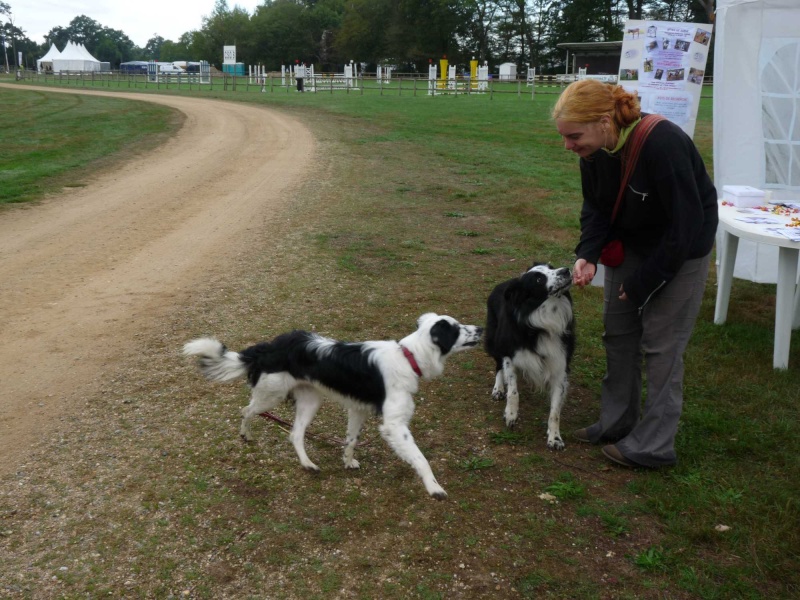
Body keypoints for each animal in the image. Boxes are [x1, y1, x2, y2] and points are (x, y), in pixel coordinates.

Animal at [183, 314, 482, 502]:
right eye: (457, 328)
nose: (481, 329)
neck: (408, 357)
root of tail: (269, 347)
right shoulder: (394, 425)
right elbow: (421, 459)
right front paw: (434, 488)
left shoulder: (358, 409)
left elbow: (351, 440)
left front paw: (347, 461)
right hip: (271, 395)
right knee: (246, 411)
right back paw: (246, 435)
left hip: (310, 400)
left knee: (295, 433)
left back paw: (307, 464)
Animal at [482, 262, 576, 450]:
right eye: (539, 279)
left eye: (551, 266)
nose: (566, 270)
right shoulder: (510, 353)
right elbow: (513, 391)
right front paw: (511, 414)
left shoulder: (560, 366)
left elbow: (555, 410)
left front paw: (554, 437)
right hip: (495, 339)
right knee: (497, 366)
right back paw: (498, 389)